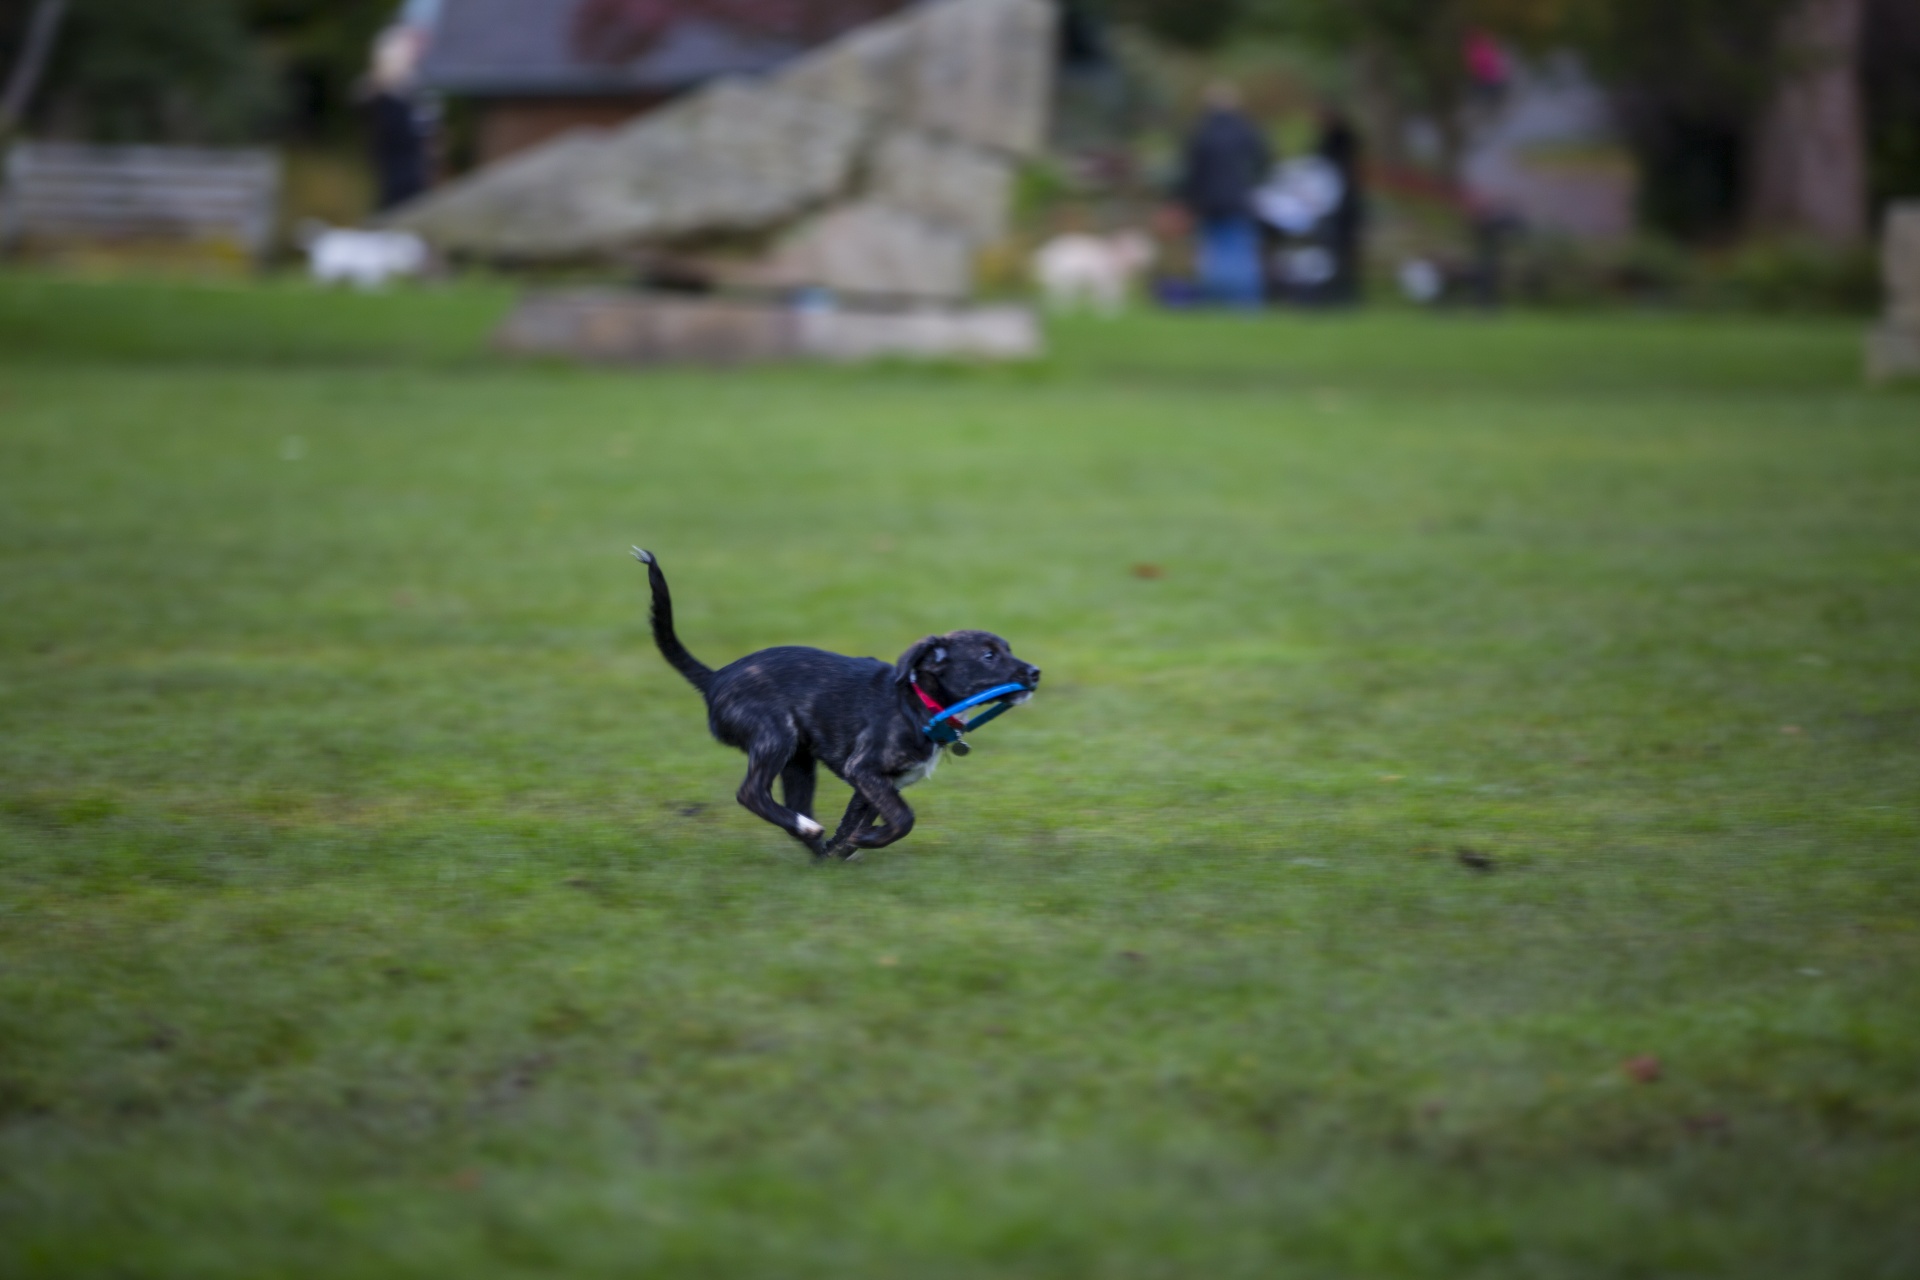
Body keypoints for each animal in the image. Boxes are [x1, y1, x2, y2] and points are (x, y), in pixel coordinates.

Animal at [299, 222, 428, 289]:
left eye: (419, 252)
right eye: (407, 253)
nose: (419, 264)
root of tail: (323, 237)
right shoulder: (370, 273)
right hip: (328, 268)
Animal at [637, 552, 1044, 859]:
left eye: (1008, 649)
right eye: (989, 656)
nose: (1035, 673)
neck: (919, 702)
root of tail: (715, 678)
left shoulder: (873, 784)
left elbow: (857, 821)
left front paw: (842, 850)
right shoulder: (864, 768)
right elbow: (904, 818)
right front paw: (861, 843)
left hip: (799, 763)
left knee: (791, 801)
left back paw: (814, 842)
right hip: (775, 735)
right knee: (750, 792)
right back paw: (806, 828)